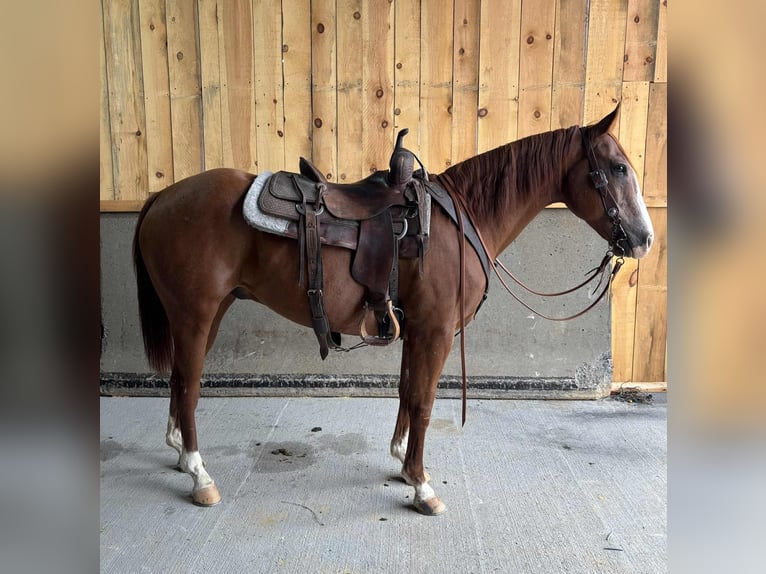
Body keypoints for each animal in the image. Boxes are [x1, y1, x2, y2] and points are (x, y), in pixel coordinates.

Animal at [132, 105, 654, 515]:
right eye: (618, 168)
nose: (644, 239)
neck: (459, 222)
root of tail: (162, 197)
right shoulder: (436, 331)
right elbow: (423, 401)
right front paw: (422, 486)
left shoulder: (416, 328)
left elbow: (406, 392)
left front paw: (403, 462)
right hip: (195, 313)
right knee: (188, 383)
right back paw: (199, 475)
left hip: (212, 311)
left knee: (180, 380)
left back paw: (179, 452)